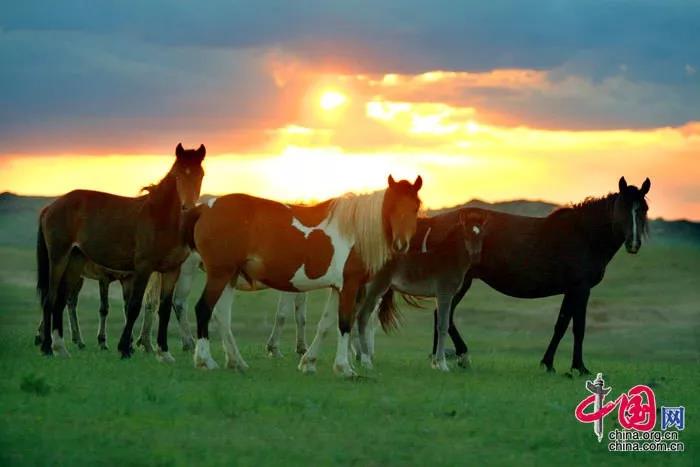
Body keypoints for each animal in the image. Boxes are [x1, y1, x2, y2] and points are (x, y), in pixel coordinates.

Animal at [36, 144, 205, 360]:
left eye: (200, 174)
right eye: (177, 175)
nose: (188, 207)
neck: (161, 217)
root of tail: (51, 206)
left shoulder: (171, 271)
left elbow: (165, 309)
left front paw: (164, 353)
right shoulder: (143, 268)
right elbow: (133, 307)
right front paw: (124, 348)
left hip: (75, 261)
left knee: (60, 301)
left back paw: (61, 348)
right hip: (58, 259)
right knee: (50, 300)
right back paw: (48, 347)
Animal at [183, 176, 422, 376]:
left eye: (416, 207)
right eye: (391, 206)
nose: (401, 244)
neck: (354, 230)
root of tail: (204, 208)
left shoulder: (337, 288)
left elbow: (325, 324)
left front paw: (309, 362)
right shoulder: (350, 286)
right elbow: (344, 324)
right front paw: (344, 368)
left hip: (229, 277)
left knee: (222, 316)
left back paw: (236, 362)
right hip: (219, 275)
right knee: (203, 309)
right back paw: (205, 360)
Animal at [356, 210, 486, 372]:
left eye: (482, 234)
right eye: (466, 233)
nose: (476, 257)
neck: (448, 259)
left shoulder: (442, 296)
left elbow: (441, 324)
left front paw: (437, 363)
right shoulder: (444, 294)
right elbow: (443, 325)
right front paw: (442, 365)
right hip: (375, 289)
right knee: (362, 317)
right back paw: (366, 361)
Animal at [416, 176, 652, 376]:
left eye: (644, 209)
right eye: (622, 208)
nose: (634, 244)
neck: (585, 235)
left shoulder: (572, 290)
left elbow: (561, 325)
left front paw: (548, 364)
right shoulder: (581, 288)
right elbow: (578, 328)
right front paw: (579, 367)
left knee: (442, 315)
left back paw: (439, 359)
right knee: (444, 315)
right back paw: (459, 356)